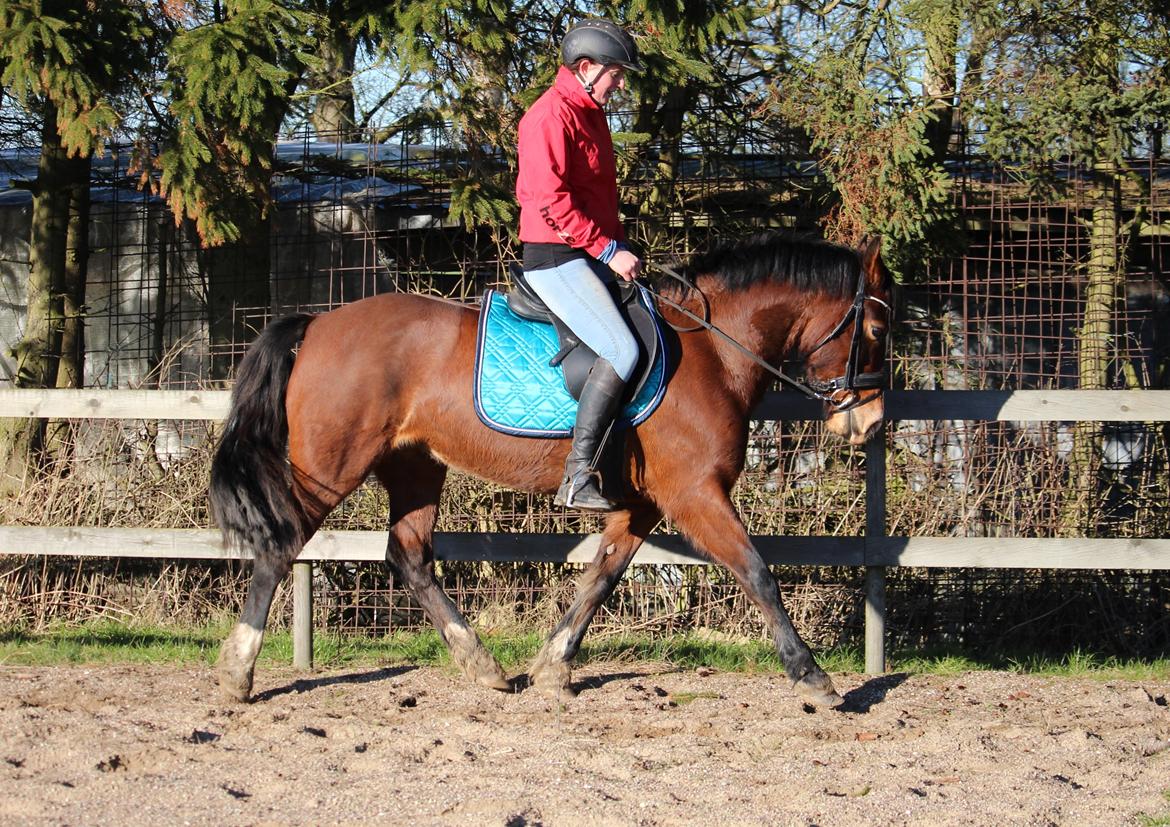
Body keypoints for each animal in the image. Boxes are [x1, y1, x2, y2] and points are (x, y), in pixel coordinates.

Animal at [210, 229, 889, 706]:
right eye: (878, 329)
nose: (870, 423)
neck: (712, 350)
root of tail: (318, 323)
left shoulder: (642, 505)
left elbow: (600, 579)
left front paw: (553, 666)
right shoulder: (696, 493)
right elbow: (757, 572)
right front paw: (813, 676)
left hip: (414, 466)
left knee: (408, 555)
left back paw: (484, 666)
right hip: (333, 466)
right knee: (281, 546)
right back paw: (238, 672)